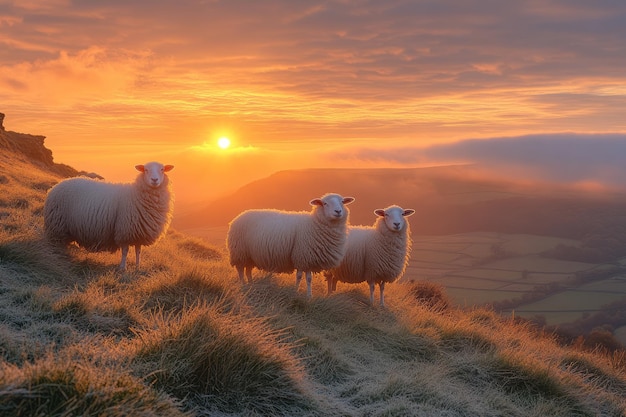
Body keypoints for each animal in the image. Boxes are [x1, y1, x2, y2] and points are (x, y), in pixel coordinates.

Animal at [43, 159, 173, 270]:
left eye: (162, 169)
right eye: (146, 169)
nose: (154, 180)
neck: (135, 194)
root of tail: (56, 186)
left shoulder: (139, 233)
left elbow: (138, 251)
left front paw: (137, 267)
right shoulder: (124, 231)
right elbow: (125, 251)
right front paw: (122, 268)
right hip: (57, 225)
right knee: (56, 243)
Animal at [225, 193, 354, 298]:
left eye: (342, 202)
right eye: (325, 203)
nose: (338, 211)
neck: (313, 224)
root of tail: (237, 218)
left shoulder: (308, 259)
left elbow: (309, 279)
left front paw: (309, 296)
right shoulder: (301, 256)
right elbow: (299, 276)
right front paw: (296, 291)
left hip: (249, 256)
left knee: (248, 270)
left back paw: (251, 284)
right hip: (239, 252)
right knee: (240, 270)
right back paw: (243, 284)